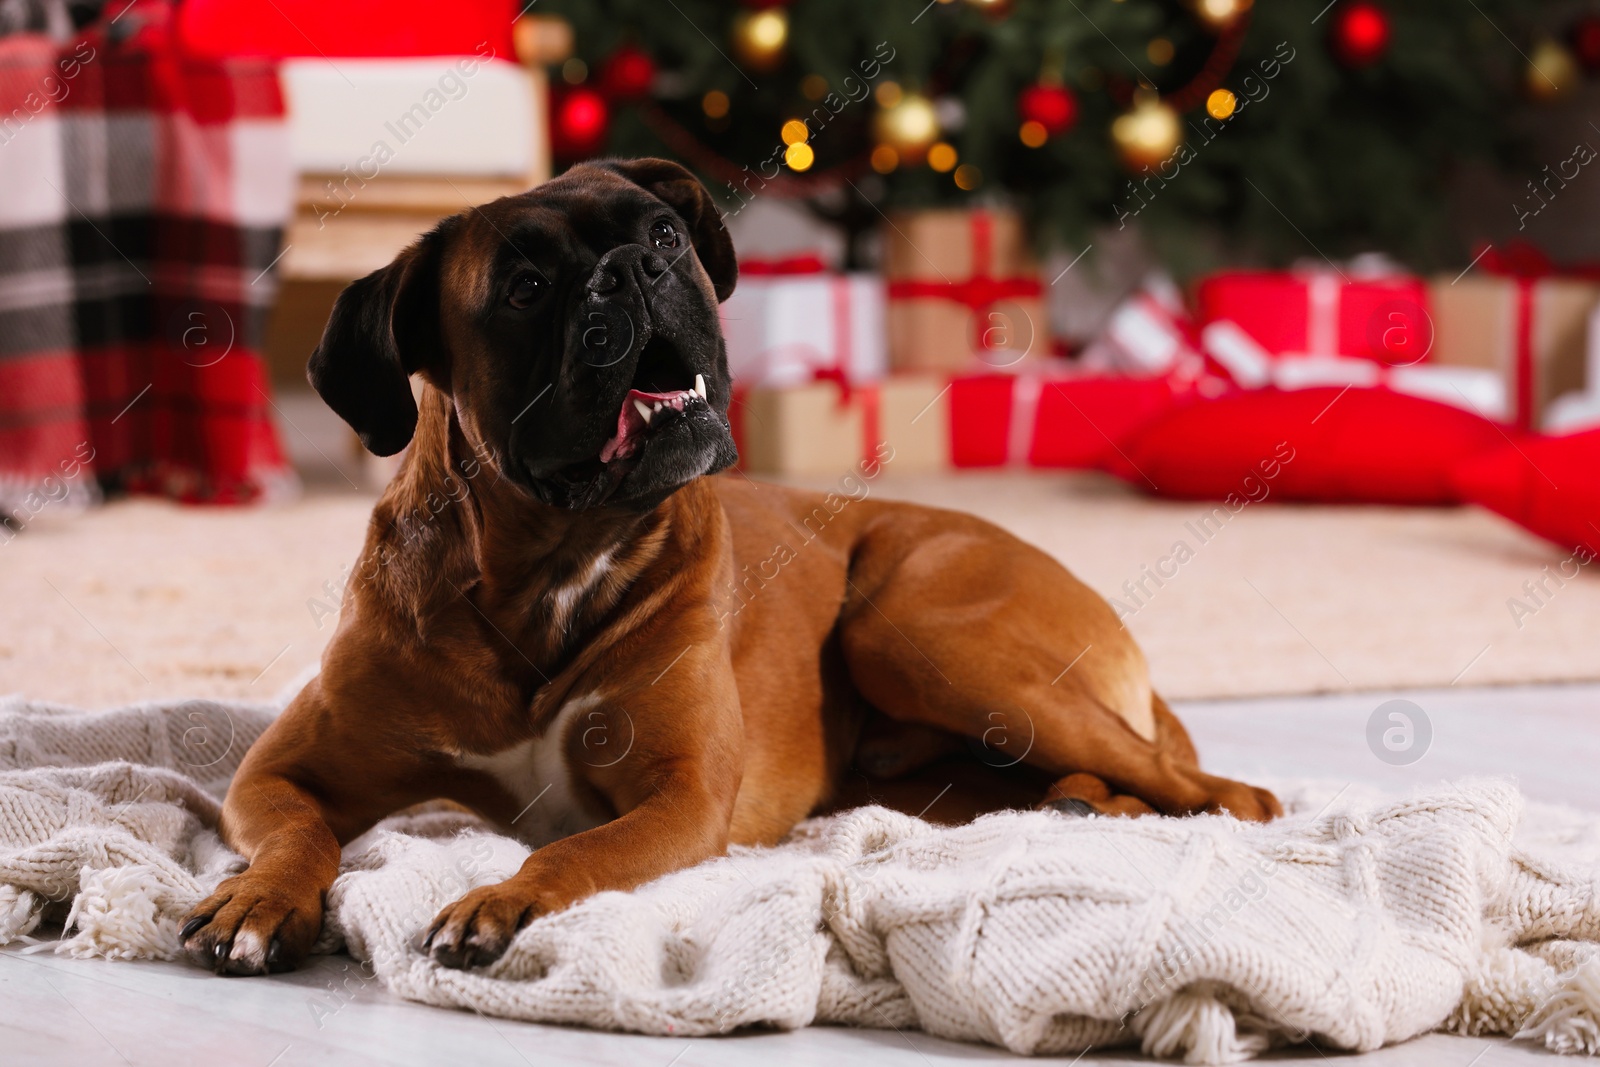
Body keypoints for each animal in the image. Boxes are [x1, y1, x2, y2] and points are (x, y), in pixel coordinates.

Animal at [178, 156, 1273, 979]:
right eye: (525, 287)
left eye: (663, 235)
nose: (630, 268)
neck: (553, 562)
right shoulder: (281, 771)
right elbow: (299, 832)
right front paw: (259, 898)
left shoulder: (682, 794)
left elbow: (576, 846)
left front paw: (505, 899)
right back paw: (1075, 801)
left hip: (917, 628)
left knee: (1224, 787)